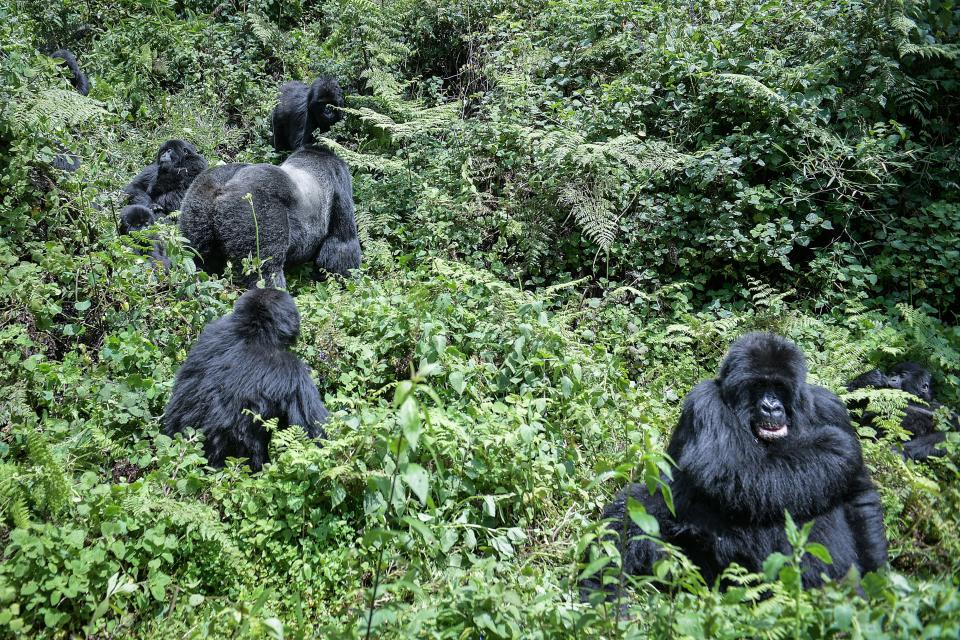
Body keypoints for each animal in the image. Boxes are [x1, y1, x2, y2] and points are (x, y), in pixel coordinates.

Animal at [178, 146, 362, 286]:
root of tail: (223, 188)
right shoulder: (340, 182)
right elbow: (341, 244)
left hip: (198, 198)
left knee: (199, 255)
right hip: (255, 208)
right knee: (266, 270)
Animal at [576, 332, 884, 596]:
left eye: (778, 387)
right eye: (759, 386)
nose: (771, 406)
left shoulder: (830, 408)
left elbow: (859, 497)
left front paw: (878, 582)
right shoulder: (705, 402)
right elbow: (734, 471)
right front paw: (833, 449)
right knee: (638, 503)